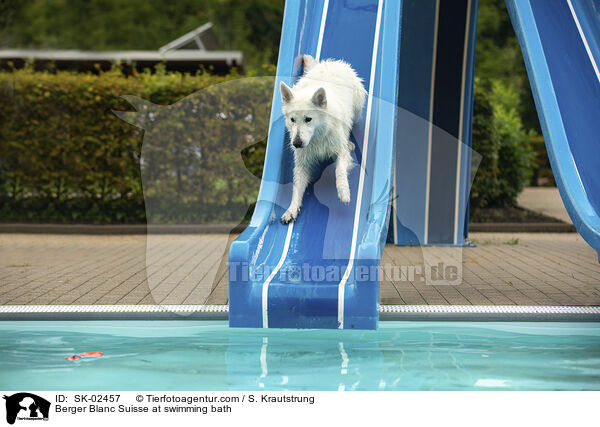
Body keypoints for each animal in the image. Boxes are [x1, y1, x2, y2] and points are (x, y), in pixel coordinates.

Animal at [280, 54, 366, 224]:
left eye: (308, 119)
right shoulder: (302, 164)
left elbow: (339, 170)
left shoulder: (340, 152)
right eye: (292, 120)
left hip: (357, 107)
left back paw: (349, 142)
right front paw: (292, 209)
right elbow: (297, 187)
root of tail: (331, 63)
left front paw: (343, 190)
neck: (318, 137)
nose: (296, 143)